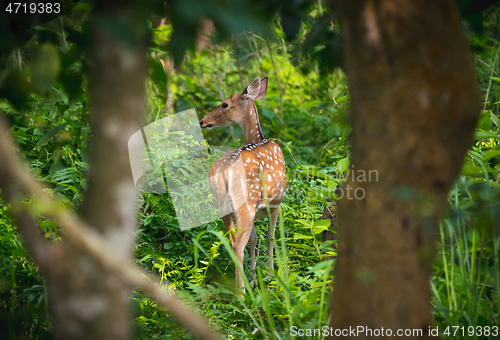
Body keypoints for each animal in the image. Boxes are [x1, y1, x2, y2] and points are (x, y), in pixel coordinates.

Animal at [198, 76, 286, 290]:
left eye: (224, 104)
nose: (203, 121)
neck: (260, 138)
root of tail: (223, 171)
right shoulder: (276, 203)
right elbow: (270, 237)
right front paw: (271, 273)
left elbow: (255, 238)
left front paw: (254, 275)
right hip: (245, 203)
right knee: (238, 245)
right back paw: (242, 292)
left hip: (224, 206)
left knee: (231, 241)